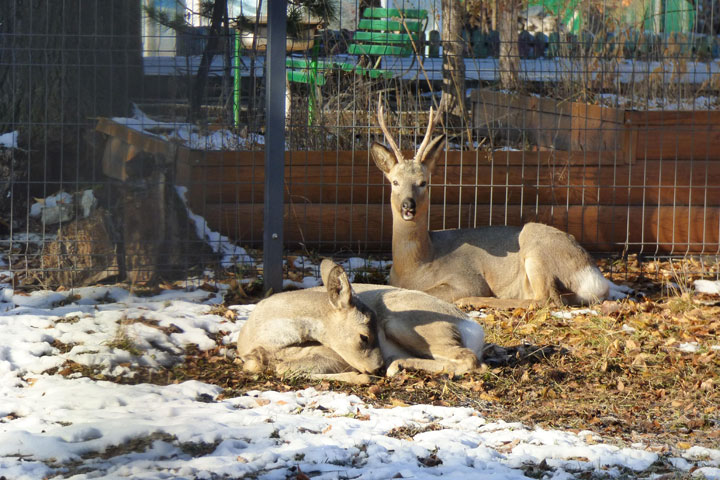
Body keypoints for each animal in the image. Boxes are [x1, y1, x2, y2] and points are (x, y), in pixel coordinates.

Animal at [368, 98, 620, 306]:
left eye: (423, 182)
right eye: (394, 182)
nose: (408, 206)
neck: (416, 266)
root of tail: (596, 278)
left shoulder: (467, 279)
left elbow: (429, 292)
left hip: (539, 252)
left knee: (546, 299)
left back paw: (479, 301)